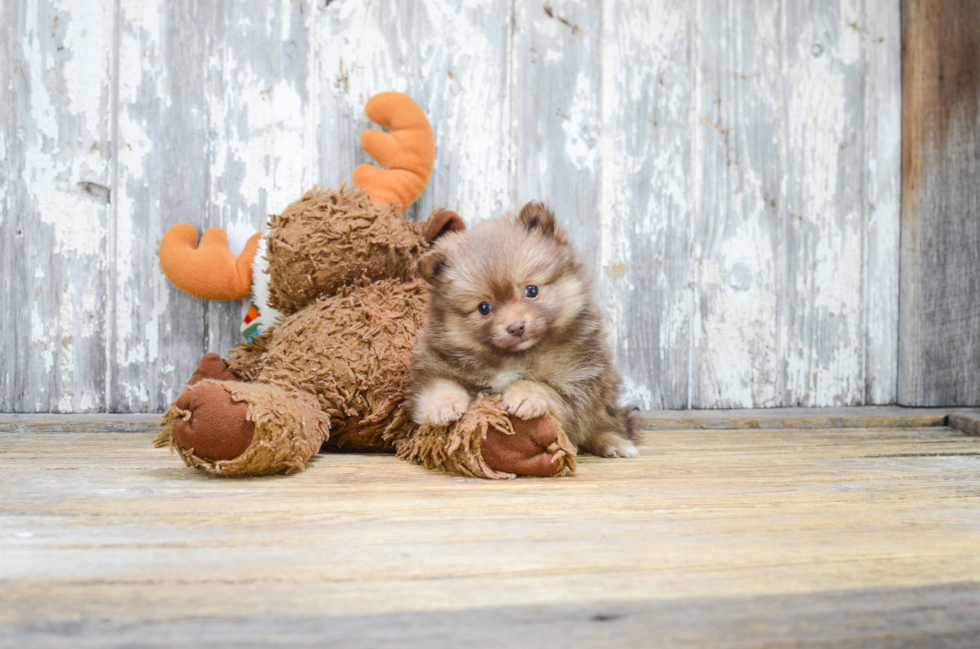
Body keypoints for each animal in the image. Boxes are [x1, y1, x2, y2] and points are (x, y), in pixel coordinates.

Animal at [410, 200, 640, 458]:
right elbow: (439, 385)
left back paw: (615, 442)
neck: (512, 358)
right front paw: (444, 404)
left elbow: (545, 389)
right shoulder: (433, 366)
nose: (516, 326)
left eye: (531, 290)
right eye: (484, 308)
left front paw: (524, 394)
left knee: (606, 424)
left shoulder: (578, 385)